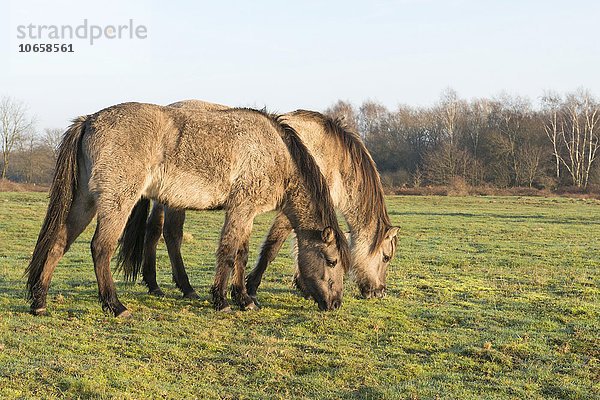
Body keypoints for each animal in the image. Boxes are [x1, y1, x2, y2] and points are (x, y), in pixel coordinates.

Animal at [25, 102, 350, 316]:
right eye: (331, 261)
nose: (335, 304)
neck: (275, 152)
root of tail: (89, 120)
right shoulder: (242, 209)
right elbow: (230, 252)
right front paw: (223, 301)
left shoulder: (246, 213)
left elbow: (242, 254)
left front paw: (244, 299)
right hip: (117, 201)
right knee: (100, 248)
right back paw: (115, 305)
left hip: (85, 203)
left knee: (58, 243)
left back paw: (39, 302)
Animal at [117, 100, 398, 306]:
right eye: (386, 257)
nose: (379, 292)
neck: (329, 154)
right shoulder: (286, 211)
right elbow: (272, 247)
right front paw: (249, 289)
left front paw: (300, 286)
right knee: (171, 235)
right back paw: (185, 288)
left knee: (154, 231)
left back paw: (155, 285)